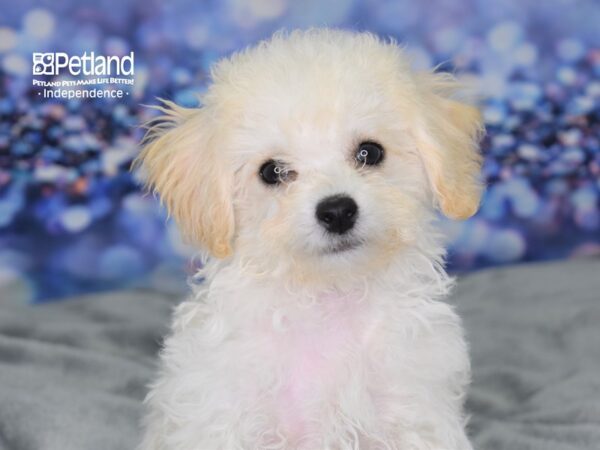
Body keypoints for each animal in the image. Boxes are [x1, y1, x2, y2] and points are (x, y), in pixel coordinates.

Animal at [136, 28, 482, 450]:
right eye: (272, 172)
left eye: (370, 152)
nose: (337, 211)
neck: (328, 299)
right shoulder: (221, 419)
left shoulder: (416, 414)